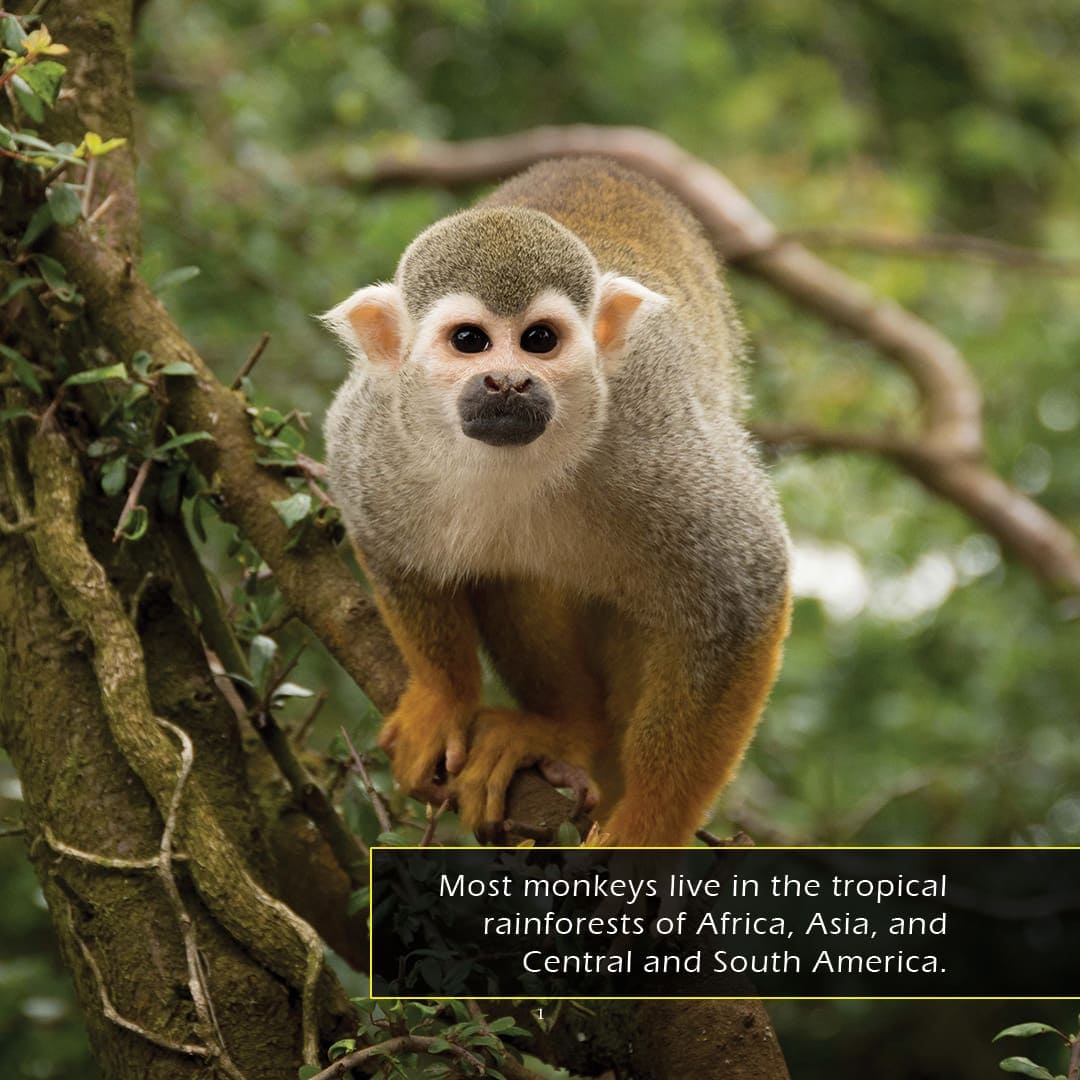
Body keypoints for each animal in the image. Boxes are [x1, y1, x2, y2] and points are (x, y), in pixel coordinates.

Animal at [321, 157, 790, 846]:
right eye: (470, 341)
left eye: (540, 339)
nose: (508, 381)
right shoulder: (377, 435)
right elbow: (389, 546)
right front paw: (444, 696)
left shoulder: (658, 438)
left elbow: (744, 601)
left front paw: (649, 831)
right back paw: (566, 728)